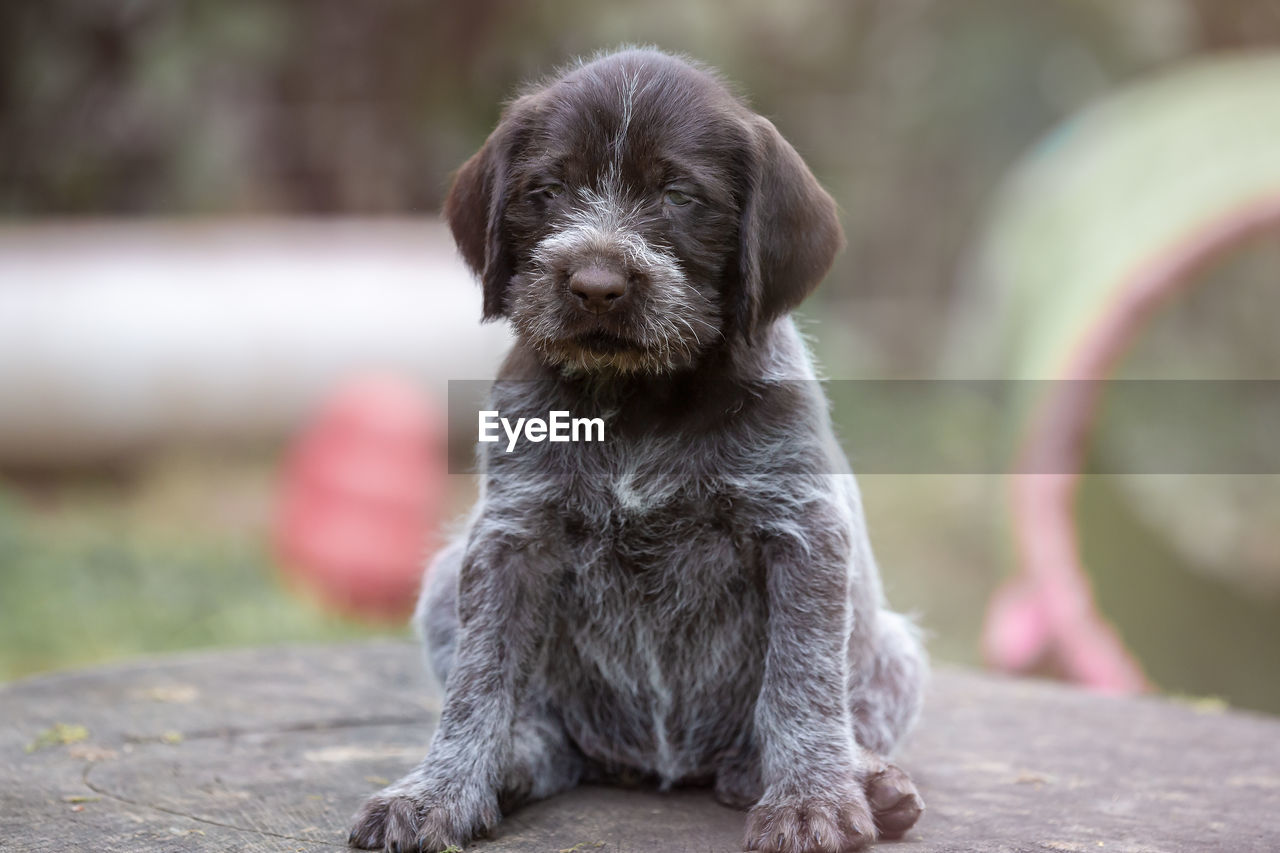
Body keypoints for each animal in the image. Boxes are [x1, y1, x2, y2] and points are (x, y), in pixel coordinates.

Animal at [350, 48, 926, 850]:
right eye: (547, 190)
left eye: (679, 196)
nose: (596, 284)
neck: (639, 398)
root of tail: (658, 768)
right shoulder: (509, 538)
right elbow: (477, 684)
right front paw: (438, 793)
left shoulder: (802, 532)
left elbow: (802, 682)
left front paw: (812, 799)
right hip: (444, 583)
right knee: (549, 734)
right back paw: (517, 762)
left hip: (894, 650)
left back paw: (851, 776)